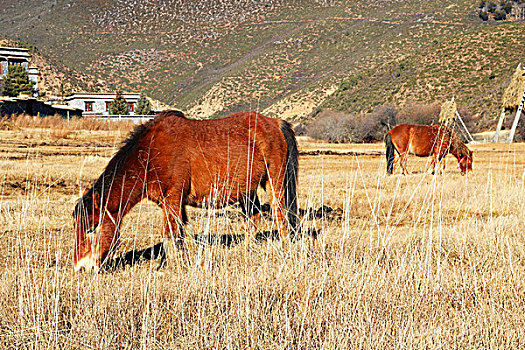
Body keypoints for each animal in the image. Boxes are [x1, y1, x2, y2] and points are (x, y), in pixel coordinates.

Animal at [71, 110, 296, 272]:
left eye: (92, 229)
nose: (81, 268)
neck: (151, 153)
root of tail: (275, 123)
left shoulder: (172, 199)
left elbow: (170, 234)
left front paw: (167, 266)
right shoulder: (173, 204)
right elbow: (179, 234)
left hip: (274, 181)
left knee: (279, 213)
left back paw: (285, 247)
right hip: (248, 191)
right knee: (254, 216)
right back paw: (248, 248)